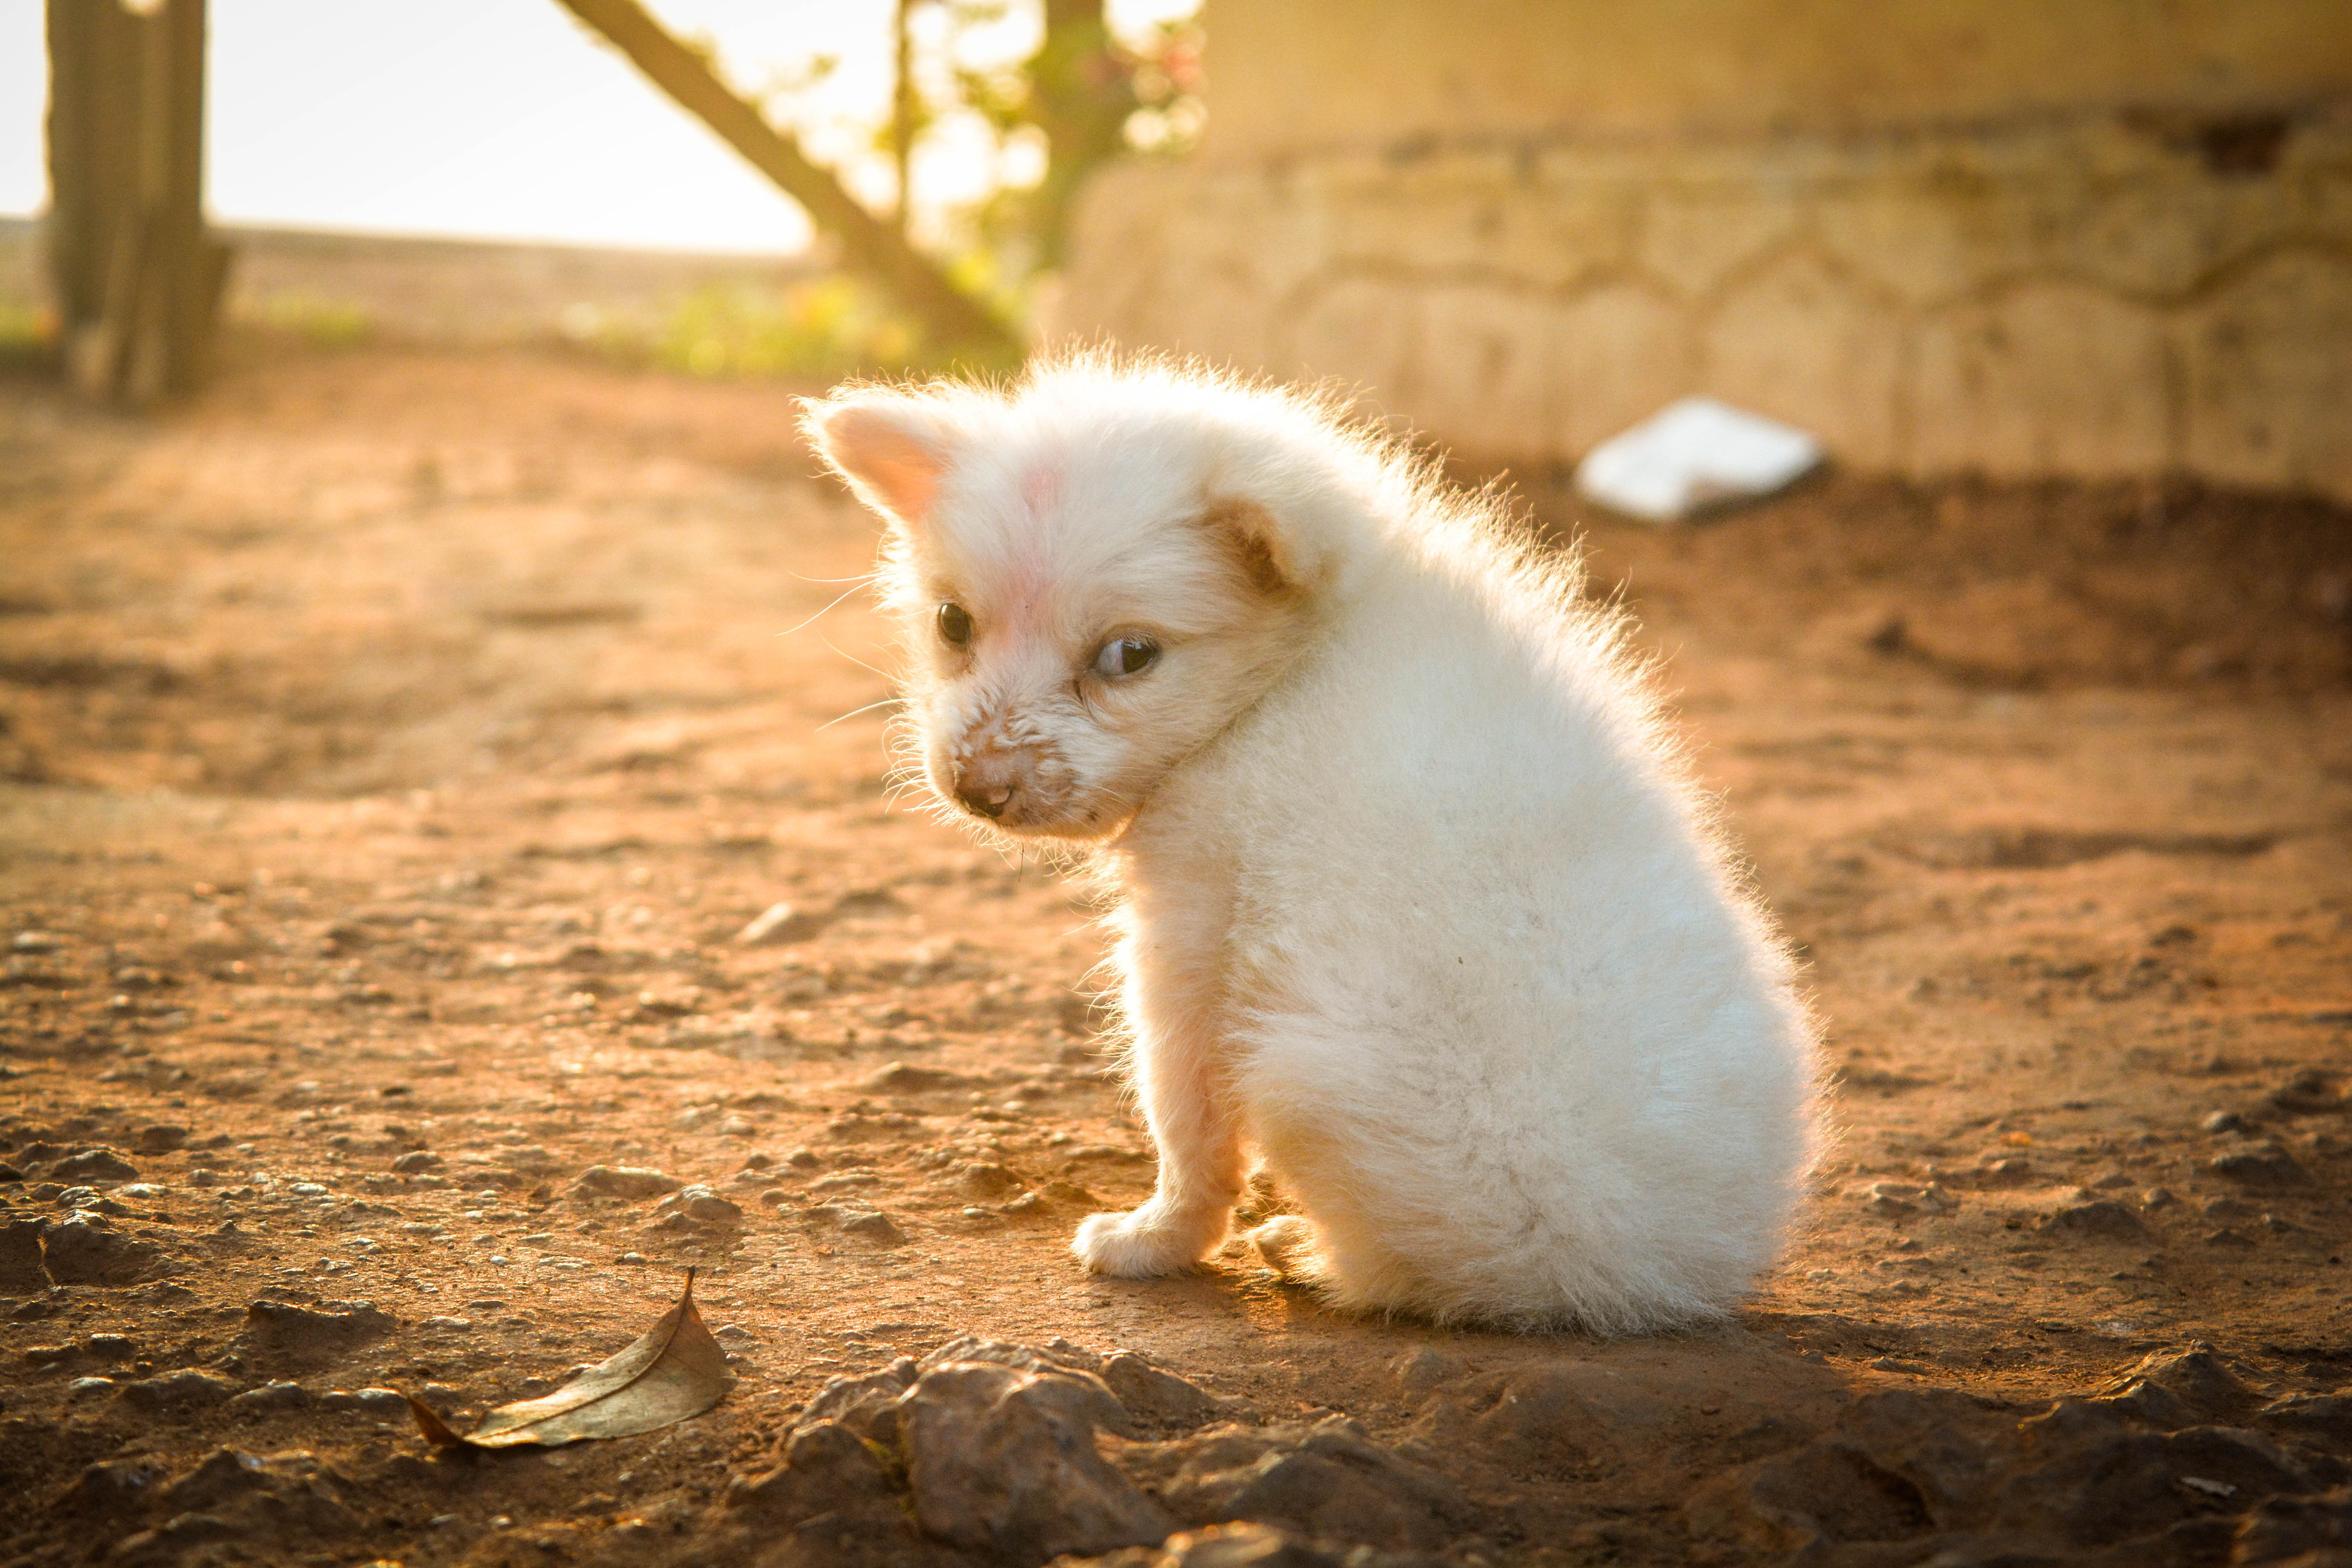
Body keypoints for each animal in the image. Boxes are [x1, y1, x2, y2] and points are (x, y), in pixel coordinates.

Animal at [804, 355, 1816, 1335]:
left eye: (1130, 656)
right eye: (953, 624)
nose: (979, 786)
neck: (1290, 671)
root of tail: (1618, 1285)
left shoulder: (1193, 931)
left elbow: (1185, 1119)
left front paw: (1153, 1237)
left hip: (1304, 1069)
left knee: (1412, 1273)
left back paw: (1307, 1251)